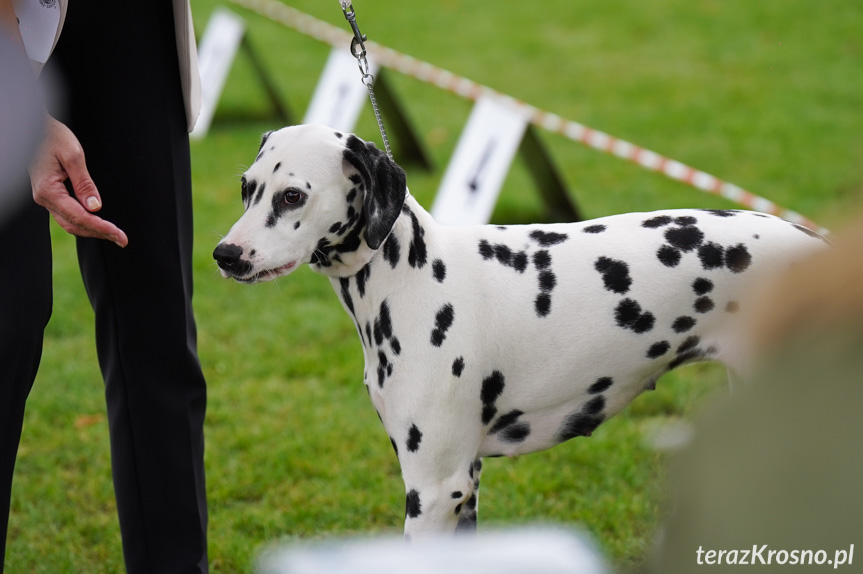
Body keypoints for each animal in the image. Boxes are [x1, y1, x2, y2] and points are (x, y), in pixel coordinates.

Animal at [213, 124, 828, 544]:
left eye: (292, 195)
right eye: (246, 187)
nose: (225, 255)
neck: (410, 277)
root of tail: (823, 246)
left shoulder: (434, 489)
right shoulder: (466, 485)